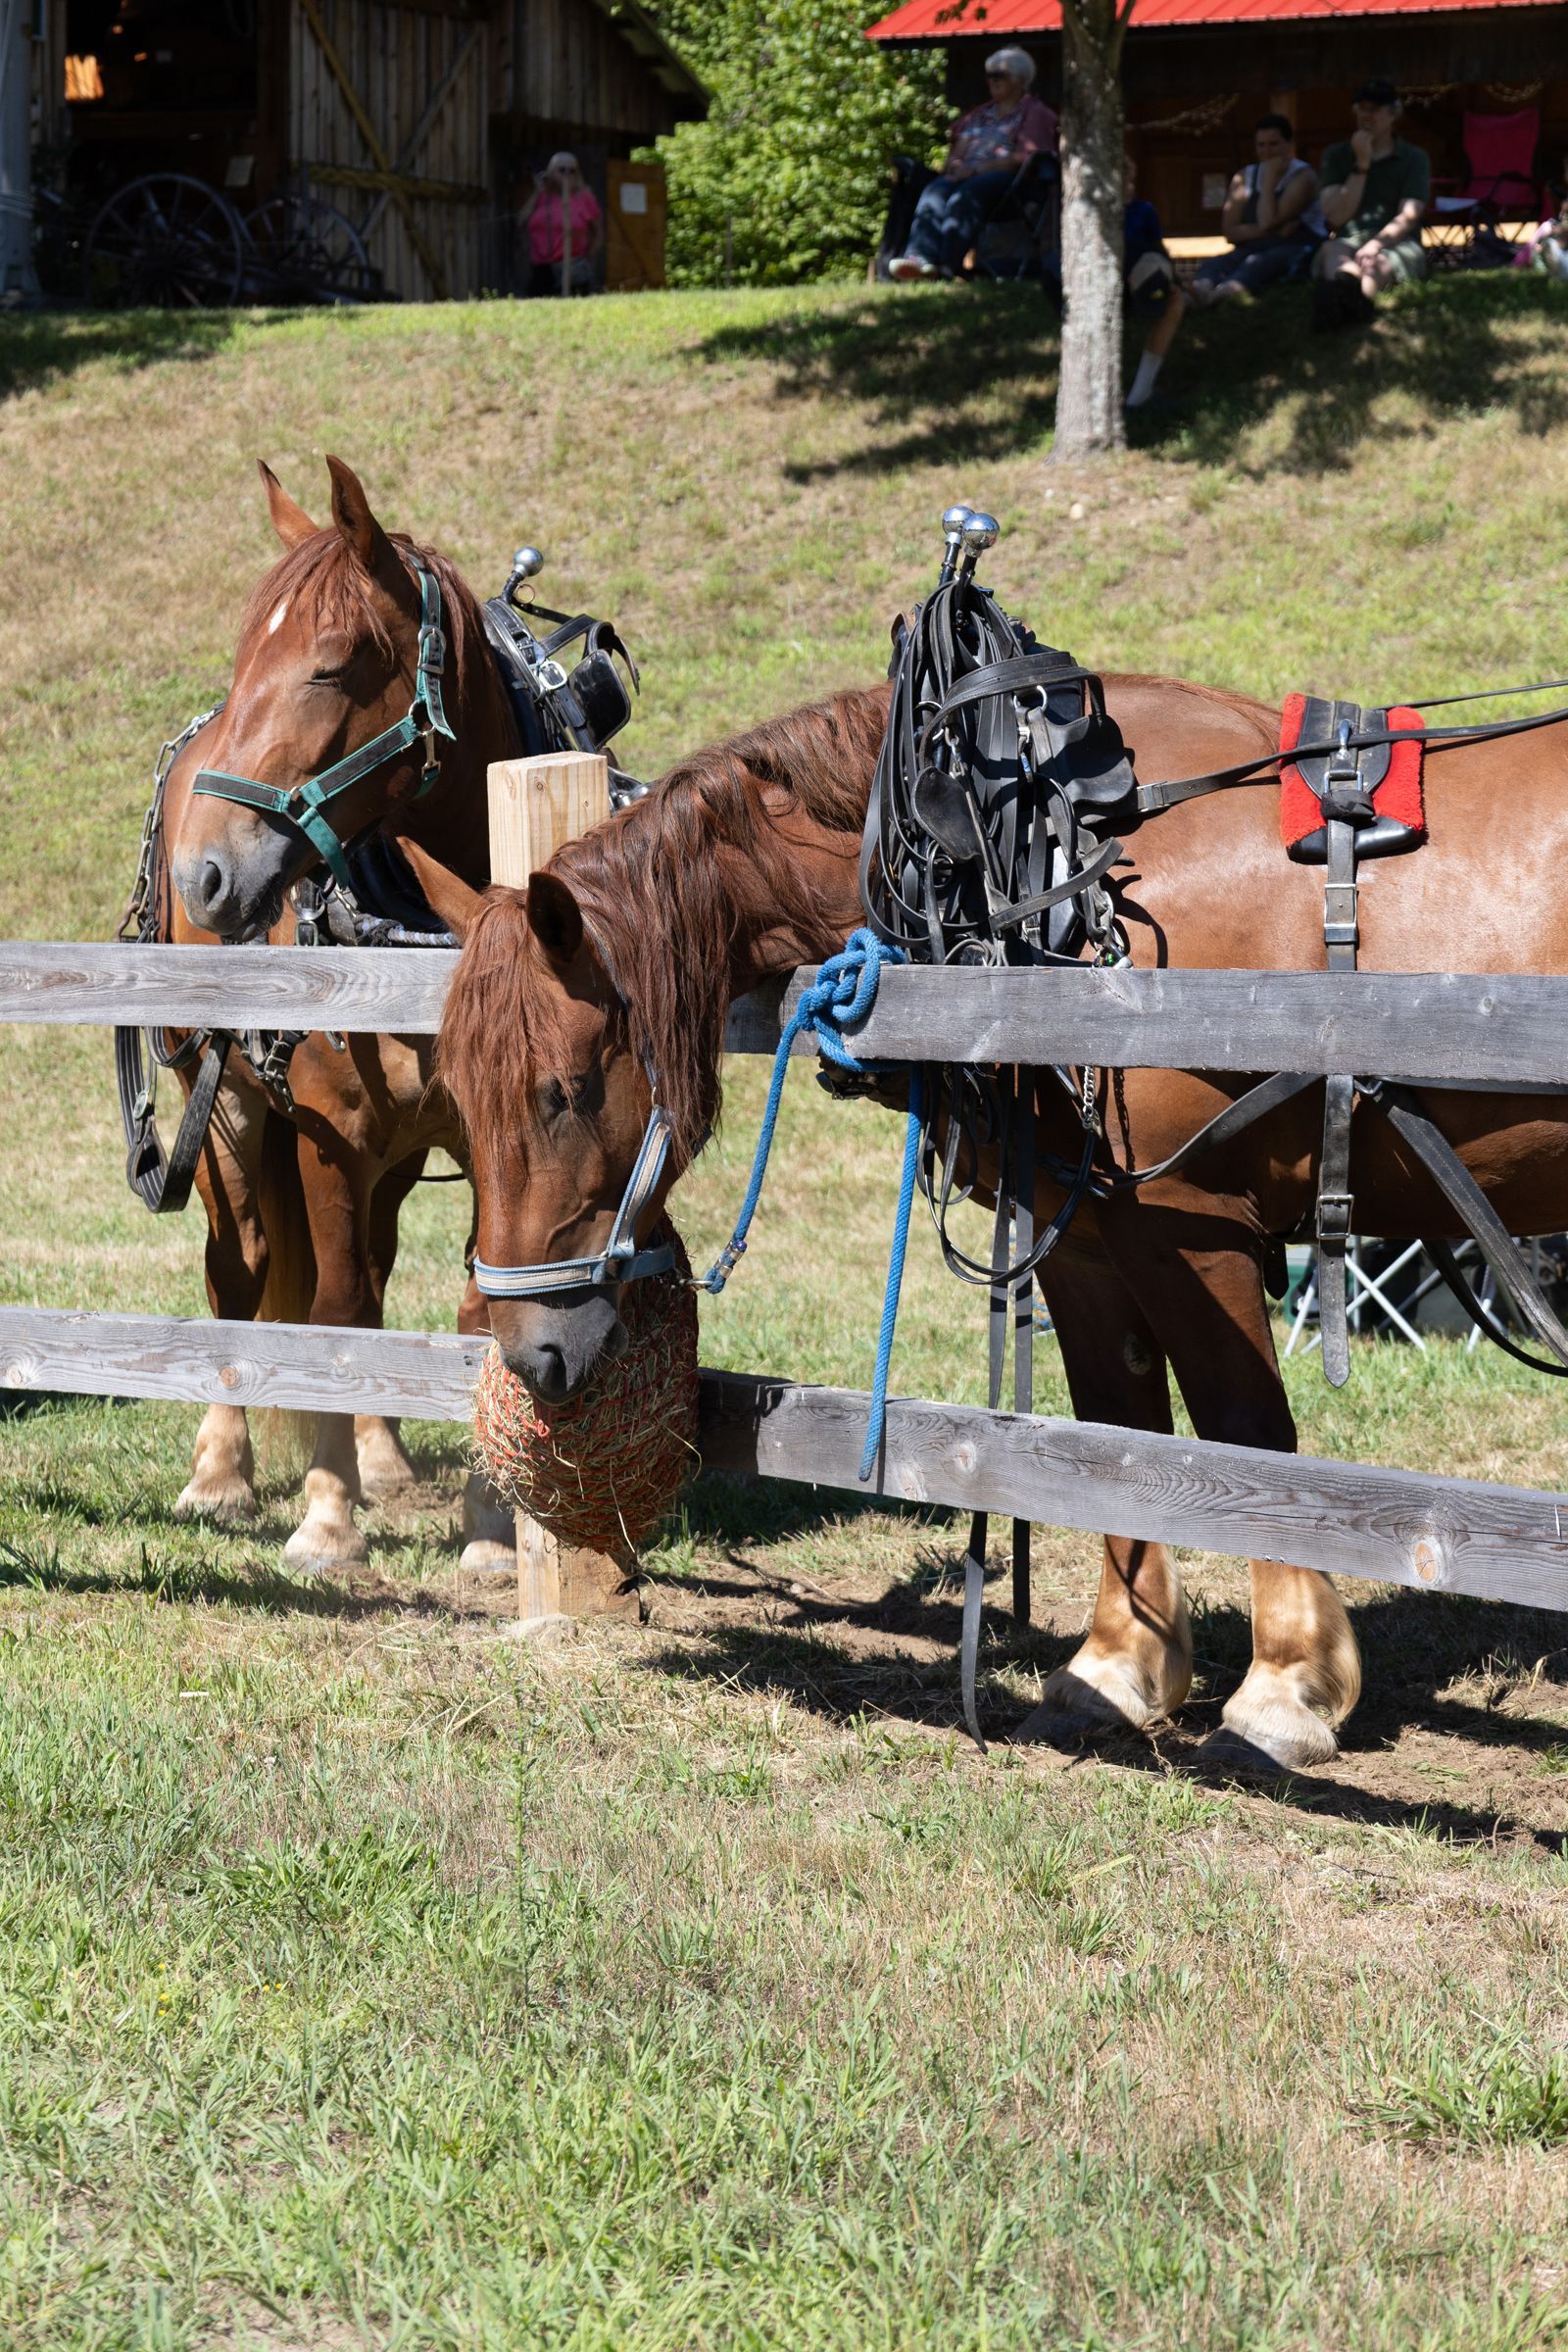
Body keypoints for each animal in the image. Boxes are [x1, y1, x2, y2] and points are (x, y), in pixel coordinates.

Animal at [153, 454, 525, 1576]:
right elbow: (332, 1306)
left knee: (376, 1261)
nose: (206, 873)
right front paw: (326, 1516)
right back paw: (221, 1469)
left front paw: (490, 1525)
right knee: (241, 1269)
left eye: (327, 668)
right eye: (244, 661)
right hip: (224, 1105)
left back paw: (384, 1455)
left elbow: (475, 1308)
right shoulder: (329, 1131)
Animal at [434, 675, 1568, 1772]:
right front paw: (1116, 1669)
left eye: (564, 1091)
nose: (527, 1350)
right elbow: (1117, 1432)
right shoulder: (1088, 1227)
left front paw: (1285, 1688)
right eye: (456, 1094)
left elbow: (1245, 1435)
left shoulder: (1190, 1223)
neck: (1051, 879)